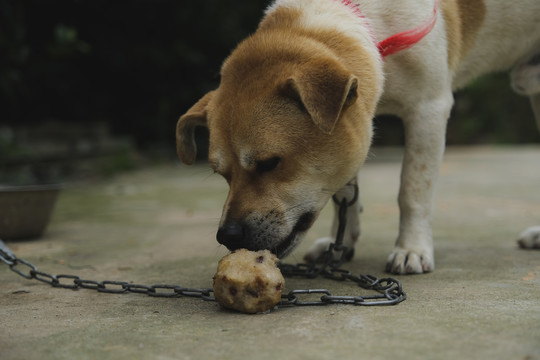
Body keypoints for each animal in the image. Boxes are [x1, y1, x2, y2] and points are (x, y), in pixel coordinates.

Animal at [176, 0, 540, 272]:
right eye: (221, 174)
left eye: (270, 163)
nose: (228, 235)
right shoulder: (357, 120)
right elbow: (344, 193)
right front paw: (340, 244)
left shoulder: (429, 109)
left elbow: (412, 190)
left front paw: (412, 249)